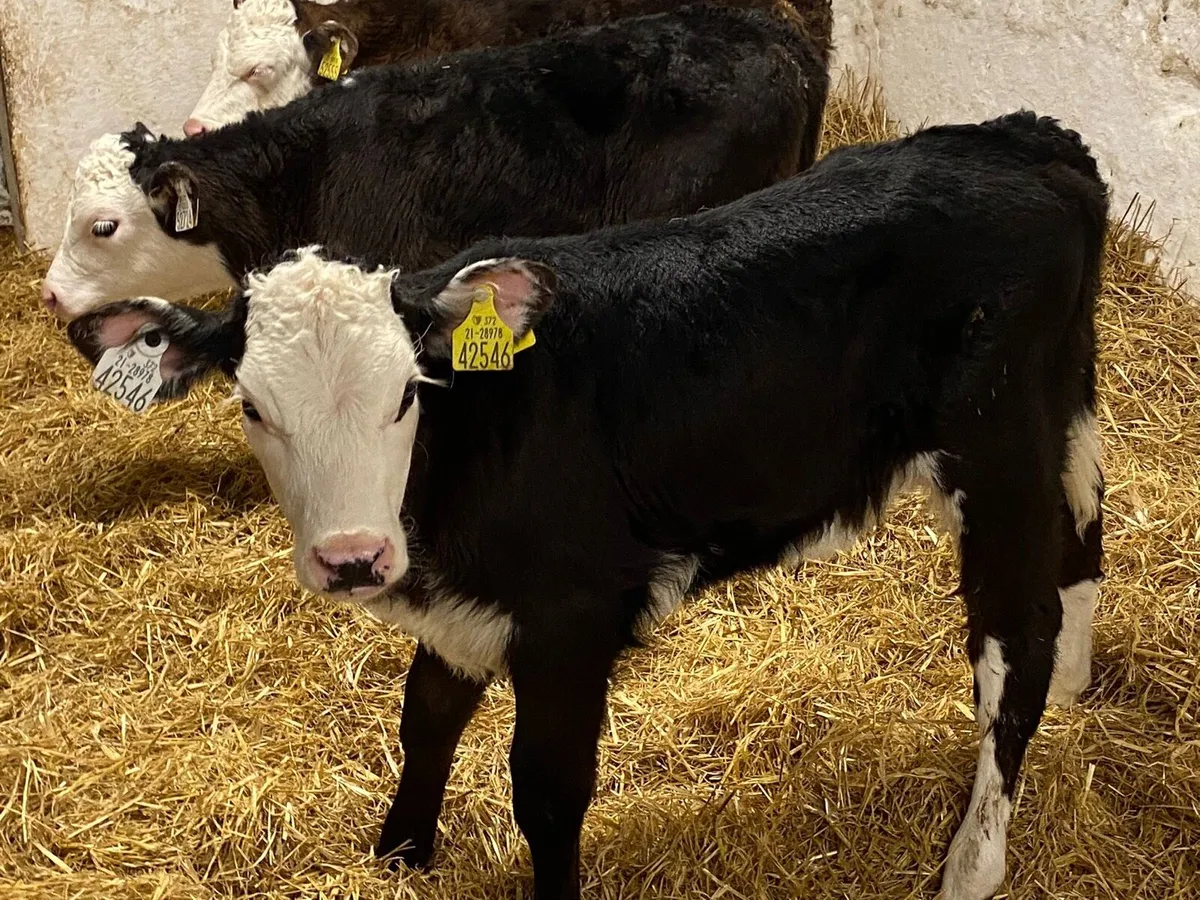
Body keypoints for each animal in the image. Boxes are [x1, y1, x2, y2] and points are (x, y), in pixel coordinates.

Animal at [67, 112, 1108, 900]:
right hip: (1060, 412)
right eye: (251, 405)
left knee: (1013, 641)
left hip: (996, 447)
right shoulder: (464, 607)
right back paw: (1074, 684)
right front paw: (399, 852)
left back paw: (973, 864)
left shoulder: (571, 613)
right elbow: (426, 715)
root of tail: (1026, 141)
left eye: (405, 393)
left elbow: (547, 788)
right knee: (1086, 529)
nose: (354, 558)